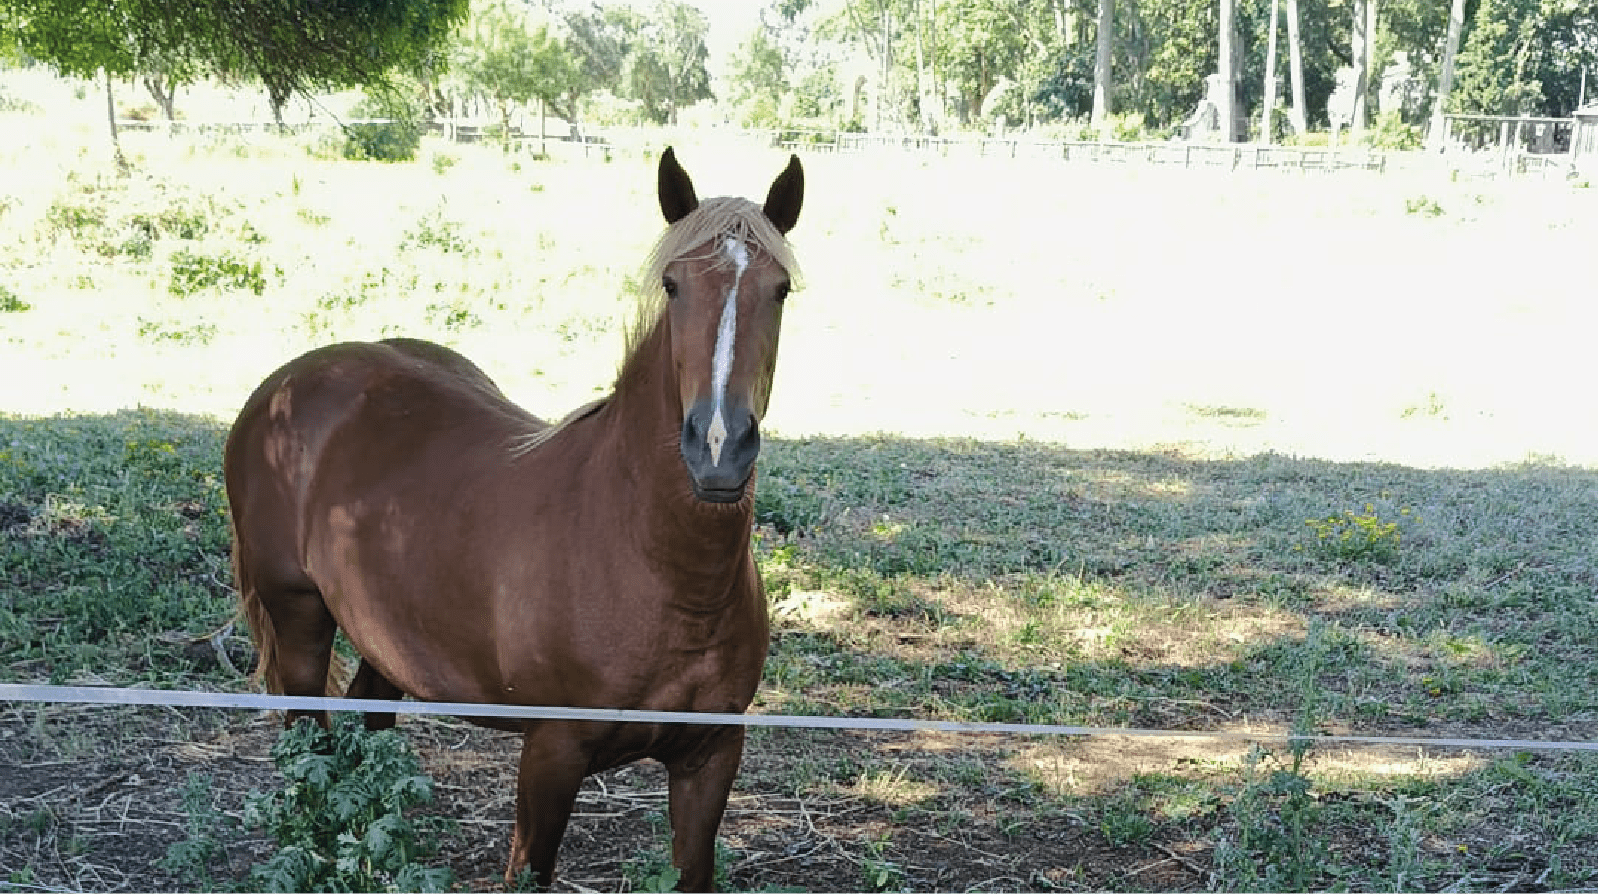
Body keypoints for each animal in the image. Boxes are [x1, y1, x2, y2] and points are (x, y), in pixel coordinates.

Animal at [224, 147, 803, 892]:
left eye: (780, 288)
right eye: (673, 285)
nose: (719, 448)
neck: (654, 563)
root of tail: (280, 389)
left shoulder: (711, 755)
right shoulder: (551, 753)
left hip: (390, 639)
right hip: (299, 620)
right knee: (312, 751)